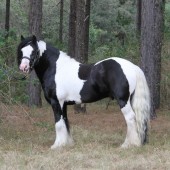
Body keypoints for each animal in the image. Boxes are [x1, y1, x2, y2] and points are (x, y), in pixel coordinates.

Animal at [17, 34, 150, 149]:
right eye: (22, 51)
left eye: (34, 51)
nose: (23, 68)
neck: (56, 69)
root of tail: (133, 67)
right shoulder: (64, 104)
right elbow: (65, 122)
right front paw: (67, 143)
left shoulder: (56, 102)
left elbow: (58, 123)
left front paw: (57, 145)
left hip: (123, 100)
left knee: (130, 118)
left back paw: (128, 144)